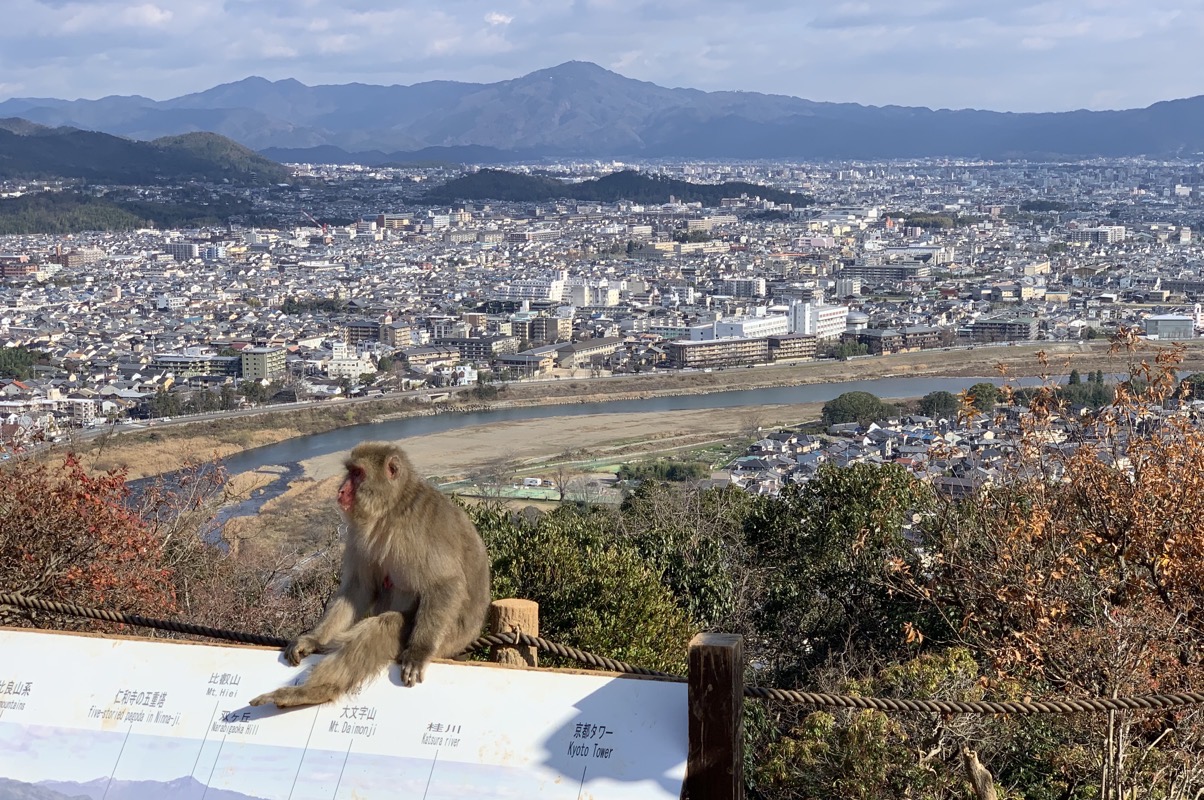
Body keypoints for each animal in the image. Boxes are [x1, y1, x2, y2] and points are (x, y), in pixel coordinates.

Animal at [249, 441, 491, 709]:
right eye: (349, 472)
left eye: (357, 474)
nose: (341, 490)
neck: (391, 509)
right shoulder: (358, 532)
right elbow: (358, 589)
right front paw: (313, 639)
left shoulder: (416, 529)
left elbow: (444, 583)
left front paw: (419, 651)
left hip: (448, 638)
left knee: (386, 625)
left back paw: (311, 692)